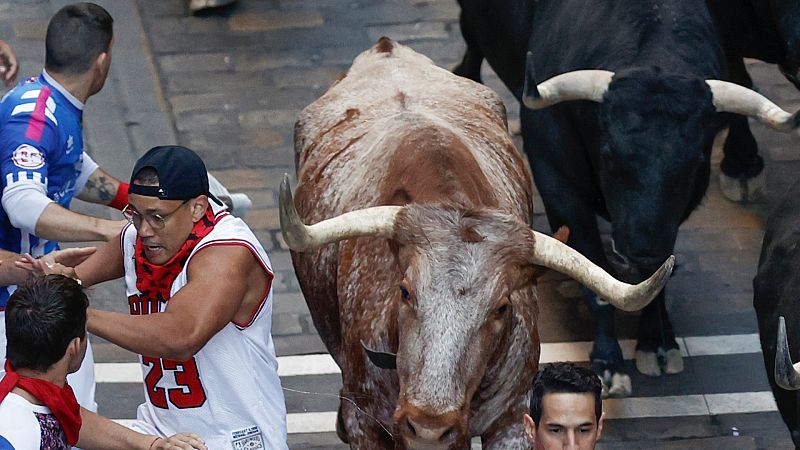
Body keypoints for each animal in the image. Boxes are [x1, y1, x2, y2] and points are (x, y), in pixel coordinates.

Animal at [284, 39, 672, 450]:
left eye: (501, 308)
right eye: (404, 291)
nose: (428, 425)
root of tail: (386, 48)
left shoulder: (513, 418)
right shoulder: (366, 423)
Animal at [454, 0, 796, 392]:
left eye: (694, 162)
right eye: (609, 155)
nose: (639, 249)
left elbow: (657, 275)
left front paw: (656, 342)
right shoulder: (557, 181)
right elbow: (594, 271)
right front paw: (607, 359)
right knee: (470, 46)